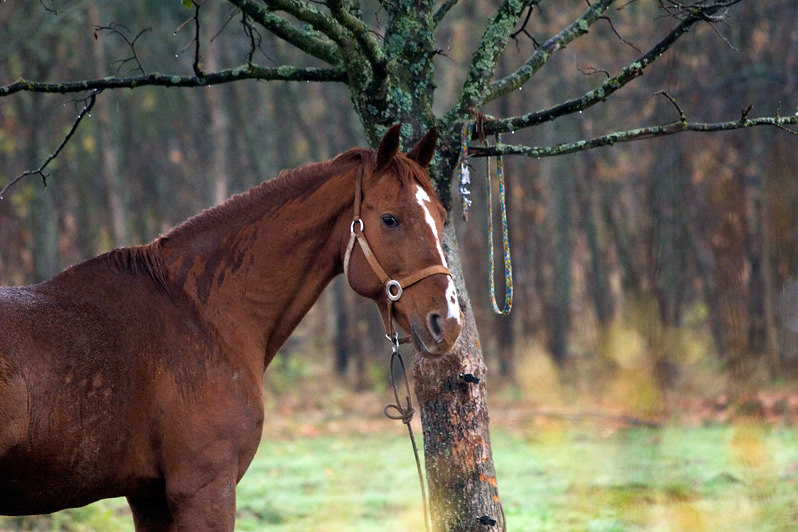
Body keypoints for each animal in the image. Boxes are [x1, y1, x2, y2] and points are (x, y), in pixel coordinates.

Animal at [0, 124, 462, 528]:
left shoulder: (148, 497)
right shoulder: (205, 489)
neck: (199, 312)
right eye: (390, 219)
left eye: (442, 216)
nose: (449, 322)